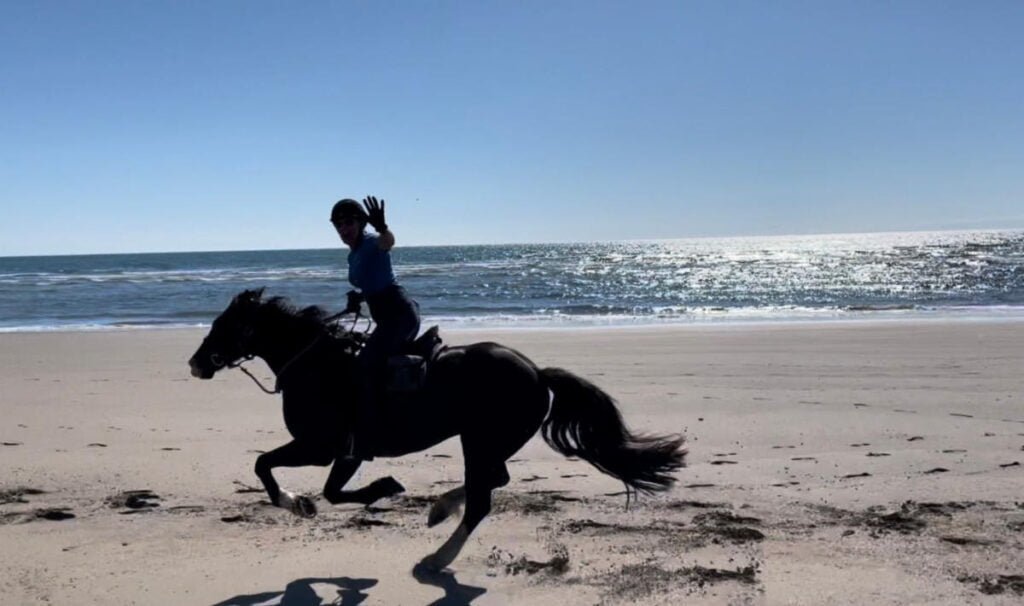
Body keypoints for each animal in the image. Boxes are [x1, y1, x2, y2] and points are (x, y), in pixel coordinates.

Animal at [192, 290, 688, 569]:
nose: (196, 363)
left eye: (222, 326)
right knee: (493, 479)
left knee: (483, 498)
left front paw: (301, 502)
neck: (315, 366)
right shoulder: (343, 452)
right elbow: (324, 489)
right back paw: (439, 511)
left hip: (480, 440)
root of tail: (537, 373)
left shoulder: (322, 446)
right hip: (487, 442)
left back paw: (437, 557)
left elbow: (270, 467)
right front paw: (319, 500)